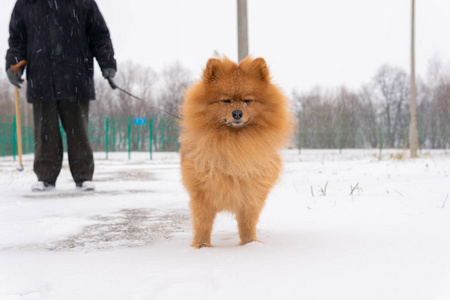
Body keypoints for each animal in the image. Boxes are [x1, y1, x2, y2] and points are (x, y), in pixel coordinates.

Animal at [179, 56, 296, 248]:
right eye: (226, 100)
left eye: (247, 100)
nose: (237, 113)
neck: (235, 143)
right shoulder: (202, 192)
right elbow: (202, 222)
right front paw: (202, 246)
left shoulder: (251, 192)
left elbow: (247, 222)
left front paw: (250, 244)